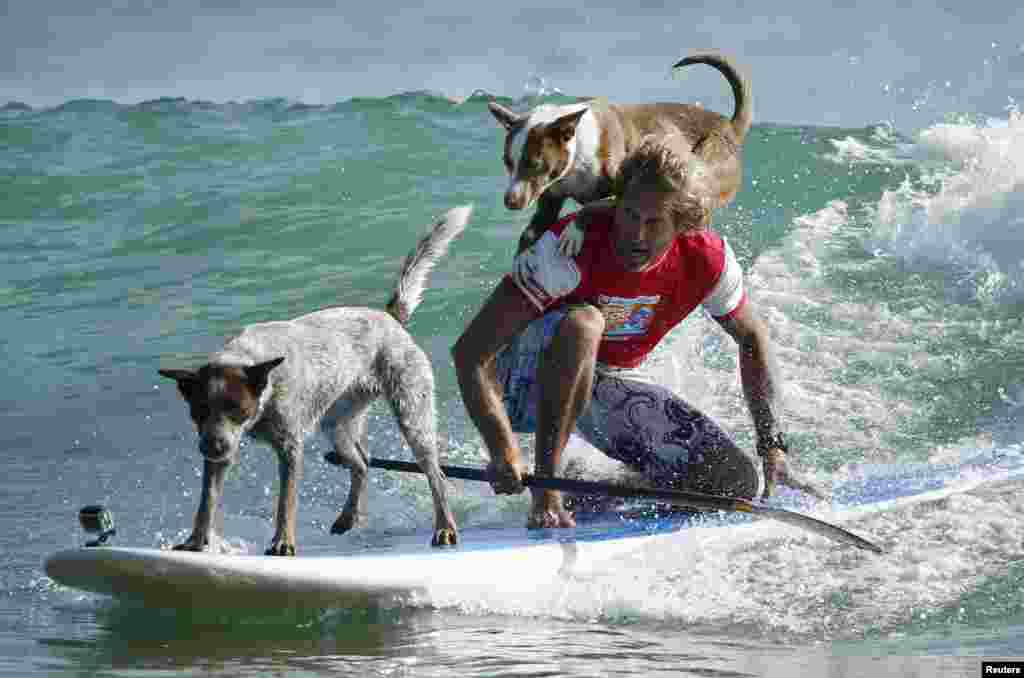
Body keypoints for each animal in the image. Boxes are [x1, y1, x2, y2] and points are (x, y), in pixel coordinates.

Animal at [157, 206, 468, 557]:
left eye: (237, 408)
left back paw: (444, 527)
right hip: (336, 423)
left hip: (412, 415)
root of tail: (390, 317)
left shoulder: (290, 448)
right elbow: (206, 501)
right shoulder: (223, 451)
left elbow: (285, 502)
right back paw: (347, 518)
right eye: (198, 412)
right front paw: (195, 542)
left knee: (434, 473)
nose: (210, 447)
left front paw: (283, 541)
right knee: (362, 463)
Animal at [487, 52, 753, 255]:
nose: (510, 201)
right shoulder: (551, 198)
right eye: (507, 162)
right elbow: (531, 232)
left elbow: (590, 207)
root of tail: (730, 126)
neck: (578, 153)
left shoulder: (624, 192)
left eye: (536, 163)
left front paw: (574, 232)